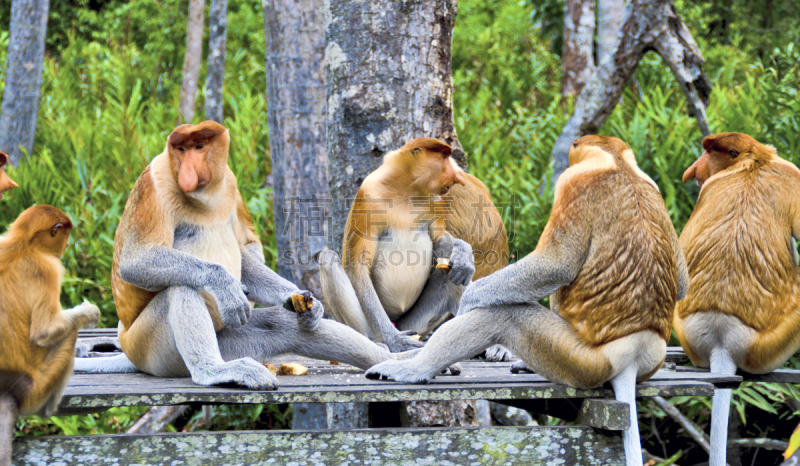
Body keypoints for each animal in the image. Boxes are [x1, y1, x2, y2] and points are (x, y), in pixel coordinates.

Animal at [0, 205, 99, 466]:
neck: (23, 242)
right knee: (69, 335)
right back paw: (49, 410)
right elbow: (44, 332)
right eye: (64, 233)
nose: (67, 245)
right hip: (38, 389)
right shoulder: (48, 268)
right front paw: (90, 312)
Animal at [73, 120, 392, 386]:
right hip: (149, 345)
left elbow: (245, 257)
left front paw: (305, 300)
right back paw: (214, 371)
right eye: (181, 150)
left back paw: (389, 360)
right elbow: (135, 260)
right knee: (181, 288)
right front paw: (224, 284)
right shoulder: (156, 183)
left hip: (225, 339)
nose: (187, 171)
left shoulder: (229, 182)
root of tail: (128, 349)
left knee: (283, 325)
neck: (206, 196)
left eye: (199, 147)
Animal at [318, 138, 482, 354]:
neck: (406, 188)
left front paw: (464, 254)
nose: (457, 177)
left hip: (414, 322)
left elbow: (439, 238)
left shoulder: (435, 201)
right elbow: (358, 266)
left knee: (454, 276)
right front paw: (395, 340)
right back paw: (377, 341)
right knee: (327, 258)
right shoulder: (368, 196)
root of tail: (397, 321)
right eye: (444, 157)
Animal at [676, 131, 800, 466]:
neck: (751, 163)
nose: (693, 170)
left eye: (709, 152)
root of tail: (721, 337)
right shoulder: (793, 174)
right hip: (775, 343)